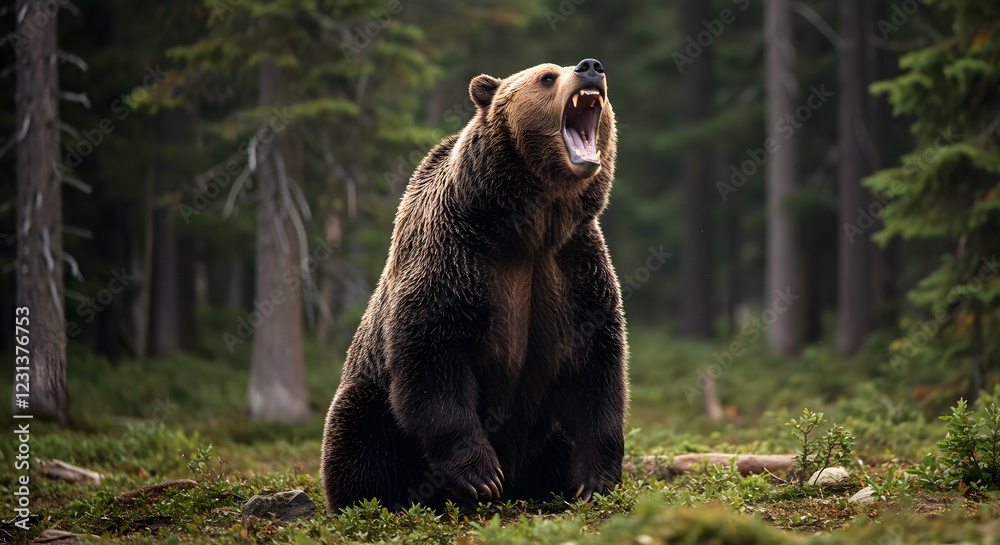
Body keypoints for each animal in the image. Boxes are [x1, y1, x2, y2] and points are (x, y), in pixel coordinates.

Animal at [321, 58, 628, 511]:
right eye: (547, 76)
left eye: (569, 67)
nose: (591, 68)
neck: (532, 225)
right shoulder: (456, 256)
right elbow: (433, 356)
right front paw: (481, 476)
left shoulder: (574, 267)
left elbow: (596, 366)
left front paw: (593, 481)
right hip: (369, 393)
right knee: (358, 430)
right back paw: (373, 499)